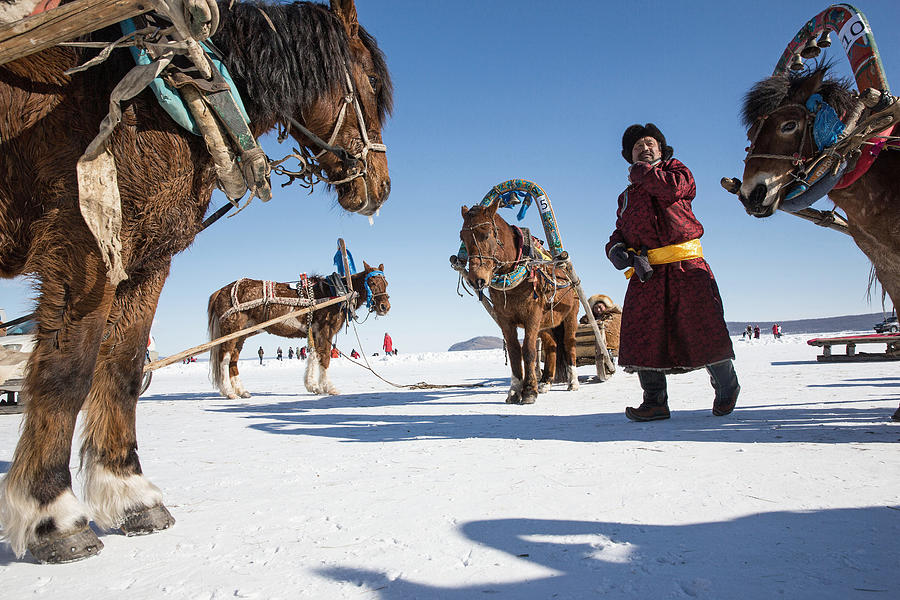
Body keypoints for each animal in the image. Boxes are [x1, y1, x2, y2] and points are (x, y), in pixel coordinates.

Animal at [211, 262, 394, 398]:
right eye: (372, 283)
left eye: (385, 283)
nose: (385, 307)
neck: (337, 292)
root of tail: (221, 291)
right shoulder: (326, 331)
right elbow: (325, 358)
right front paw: (328, 387)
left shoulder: (315, 332)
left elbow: (314, 355)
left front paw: (313, 386)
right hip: (231, 329)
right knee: (224, 358)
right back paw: (228, 391)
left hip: (240, 334)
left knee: (233, 359)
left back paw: (241, 391)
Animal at [460, 199, 580, 406]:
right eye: (462, 236)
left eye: (487, 233)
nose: (477, 279)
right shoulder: (505, 320)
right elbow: (515, 351)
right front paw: (515, 391)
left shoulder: (532, 317)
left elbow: (529, 351)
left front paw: (529, 391)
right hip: (546, 323)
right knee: (551, 346)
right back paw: (546, 382)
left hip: (570, 314)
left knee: (568, 344)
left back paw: (573, 382)